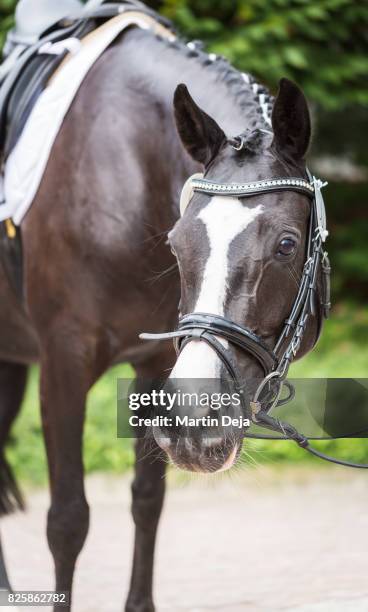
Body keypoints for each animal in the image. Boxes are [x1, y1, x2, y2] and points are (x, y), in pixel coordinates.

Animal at [0, 13, 324, 612]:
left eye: (287, 245)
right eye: (176, 243)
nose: (199, 421)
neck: (126, 164)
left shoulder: (154, 366)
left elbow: (147, 500)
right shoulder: (63, 367)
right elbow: (68, 522)